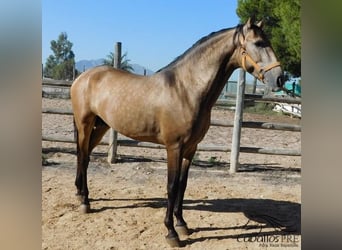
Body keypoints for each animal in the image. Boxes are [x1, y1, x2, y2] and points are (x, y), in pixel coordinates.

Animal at [69, 18, 284, 247]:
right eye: (259, 43)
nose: (280, 78)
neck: (186, 89)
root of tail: (83, 77)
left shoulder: (190, 148)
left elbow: (183, 184)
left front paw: (182, 225)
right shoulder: (174, 147)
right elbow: (171, 186)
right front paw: (171, 233)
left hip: (101, 127)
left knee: (85, 156)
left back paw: (80, 194)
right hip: (85, 124)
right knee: (82, 156)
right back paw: (85, 202)